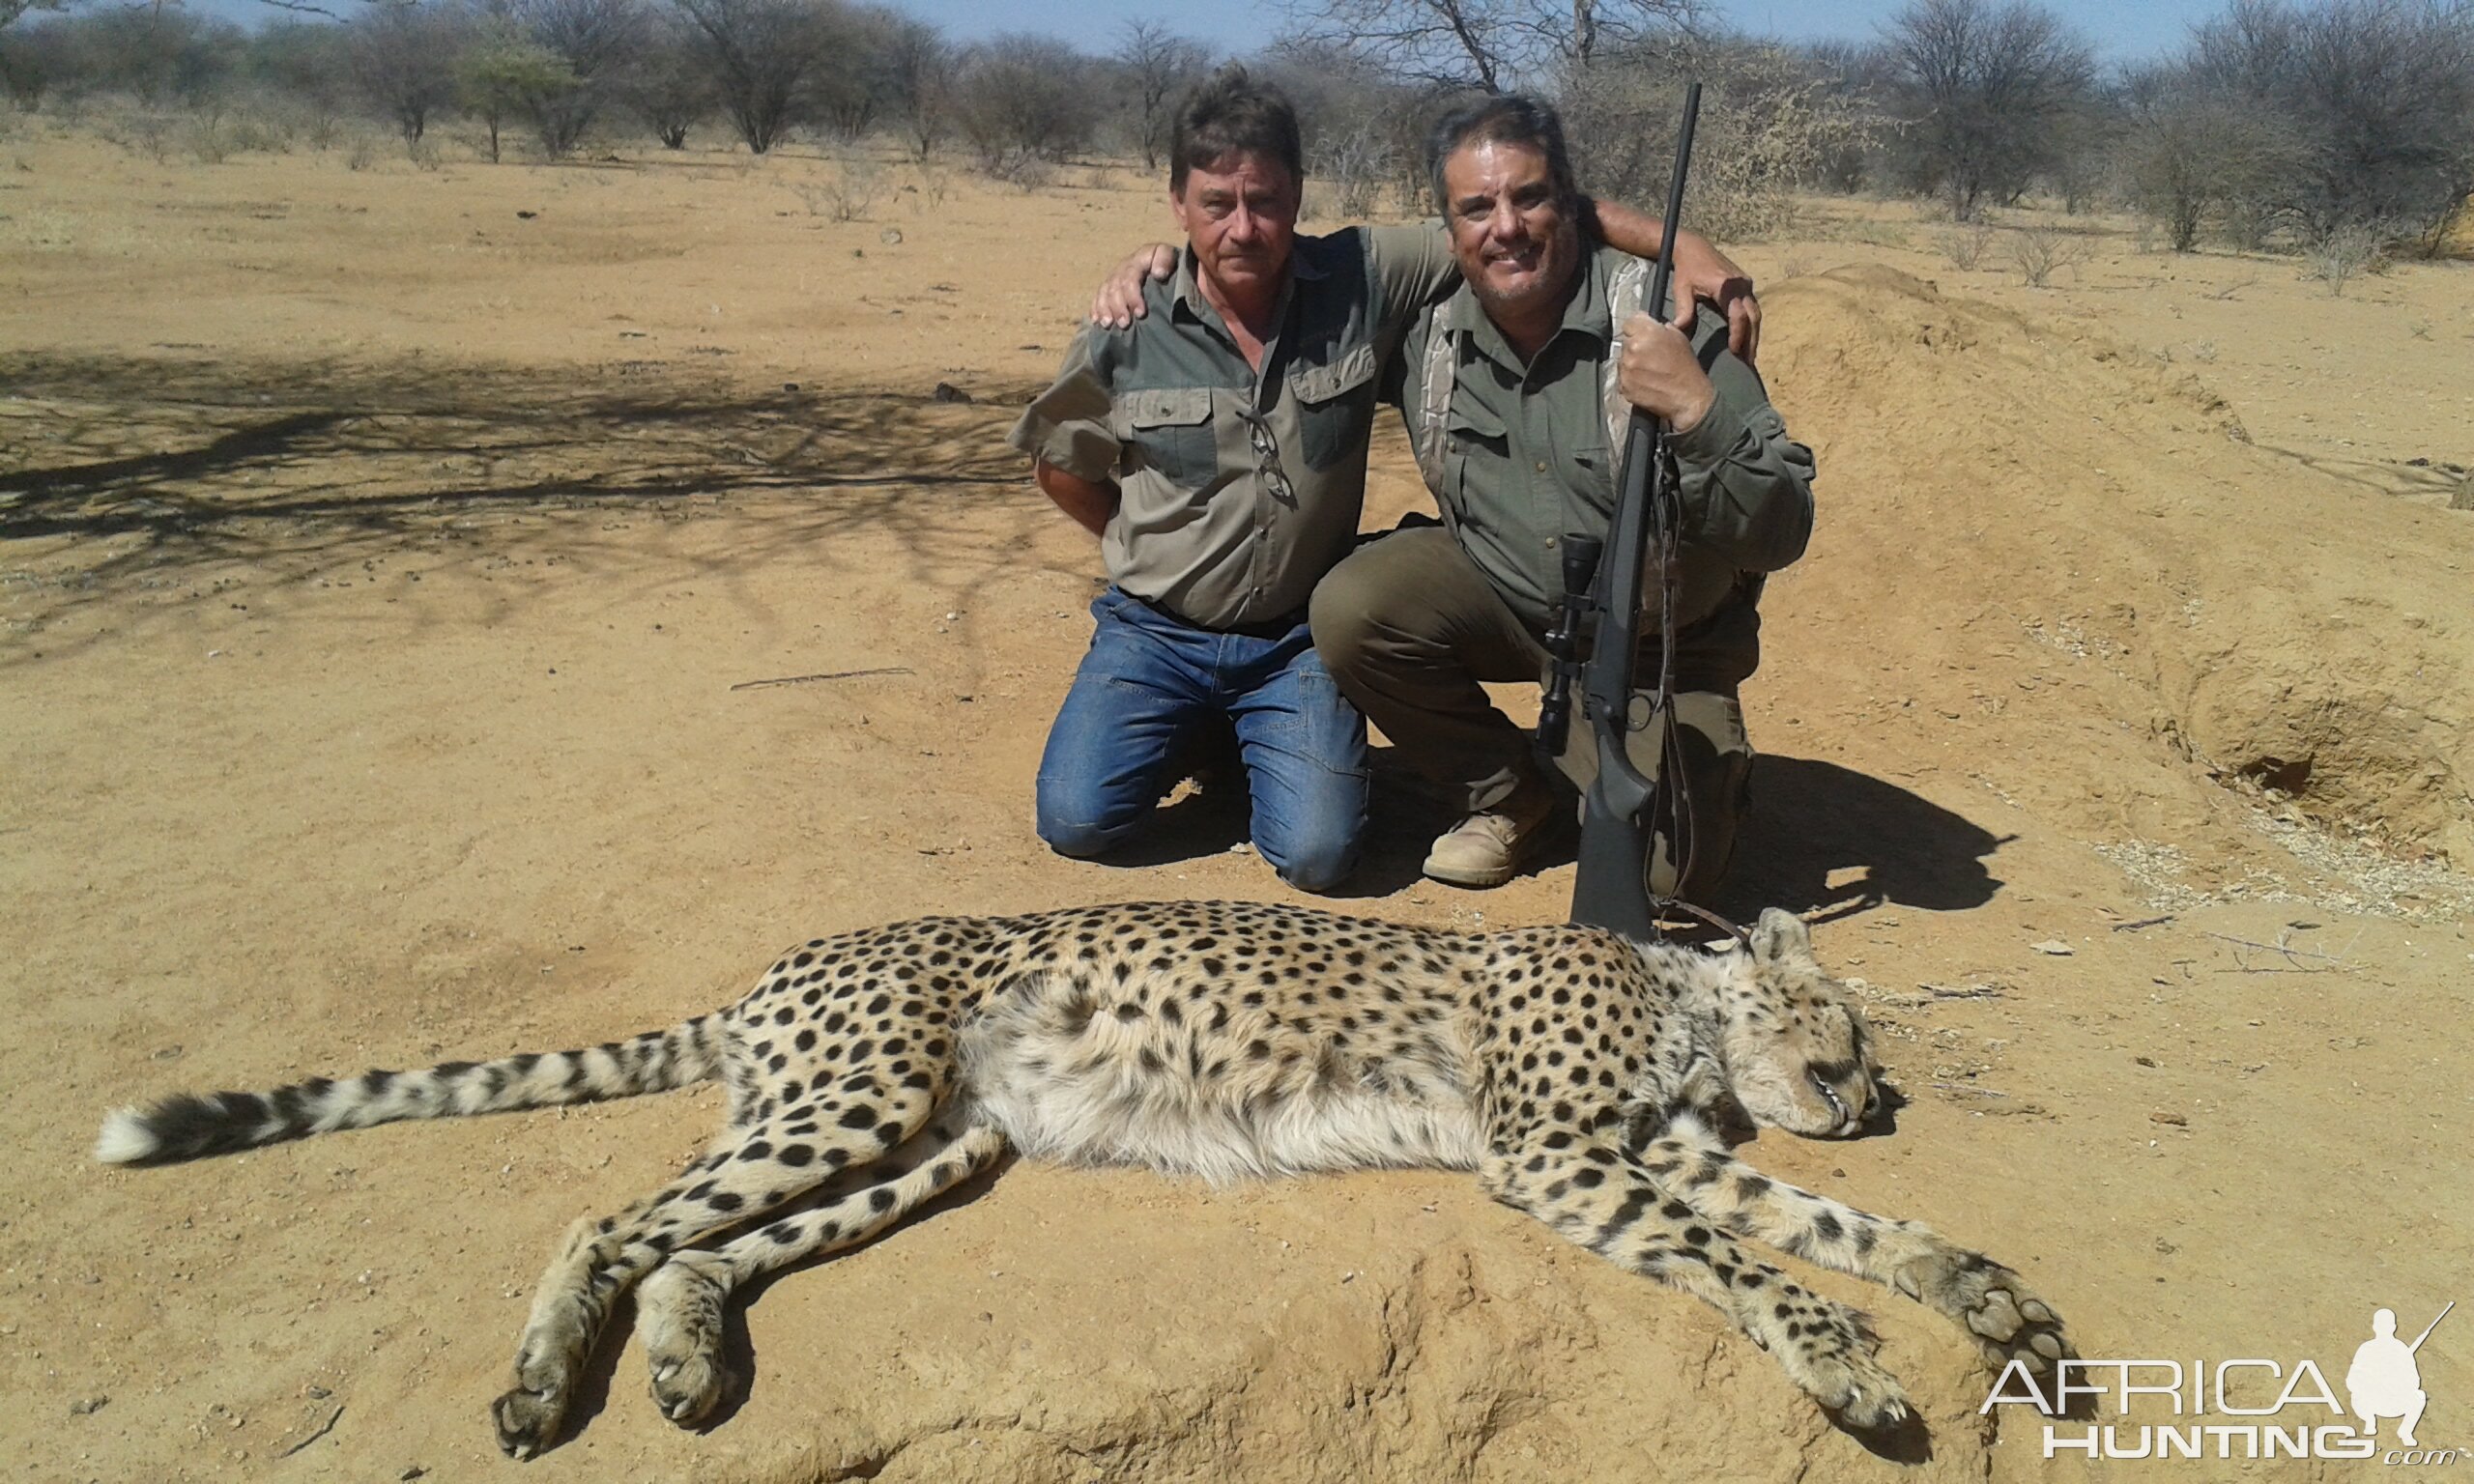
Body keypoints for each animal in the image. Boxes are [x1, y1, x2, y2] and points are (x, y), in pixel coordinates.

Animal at [96, 899, 2068, 1454]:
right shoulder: (1561, 1158)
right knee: (612, 1214)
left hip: (932, 1141)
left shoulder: (1654, 1156)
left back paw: (683, 1358)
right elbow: (1769, 1266)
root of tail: (780, 966)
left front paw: (1994, 1299)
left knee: (704, 1251)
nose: (1863, 1095)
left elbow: (1841, 1230)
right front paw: (1852, 1367)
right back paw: (535, 1384)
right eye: (1837, 1024)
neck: (1677, 1003)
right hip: (858, 1095)